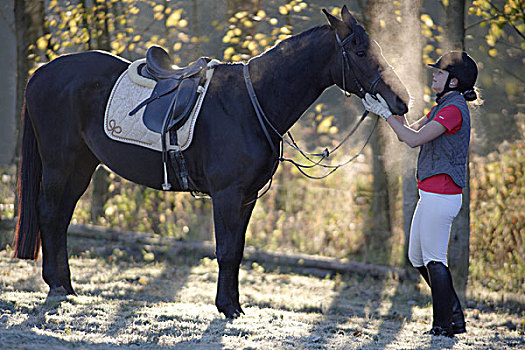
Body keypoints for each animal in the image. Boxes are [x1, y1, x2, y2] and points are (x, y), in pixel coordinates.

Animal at [11, 5, 406, 318]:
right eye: (358, 52)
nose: (401, 101)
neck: (252, 101)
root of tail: (42, 72)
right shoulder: (227, 195)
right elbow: (226, 250)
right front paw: (227, 307)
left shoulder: (246, 197)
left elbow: (238, 251)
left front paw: (234, 305)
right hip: (61, 164)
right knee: (50, 213)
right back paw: (56, 285)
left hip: (81, 166)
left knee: (61, 218)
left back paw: (65, 286)